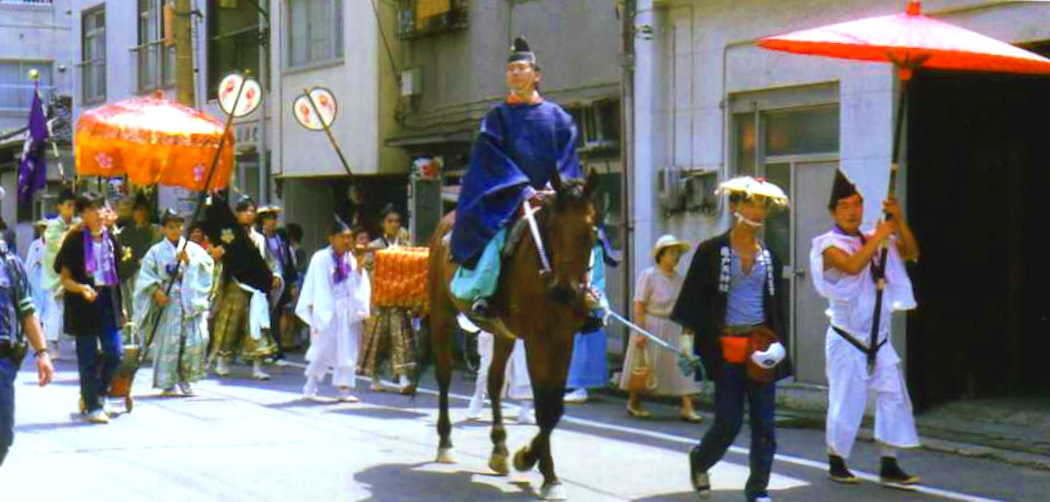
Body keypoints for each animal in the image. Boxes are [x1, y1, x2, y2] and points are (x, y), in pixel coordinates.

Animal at [412, 170, 599, 500]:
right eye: (553, 228)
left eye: (590, 229)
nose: (565, 292)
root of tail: (446, 220)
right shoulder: (538, 339)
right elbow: (544, 406)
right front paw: (541, 469)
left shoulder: (563, 339)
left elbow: (555, 407)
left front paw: (532, 460)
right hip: (441, 311)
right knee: (444, 374)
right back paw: (445, 443)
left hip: (503, 332)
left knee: (495, 381)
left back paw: (499, 448)